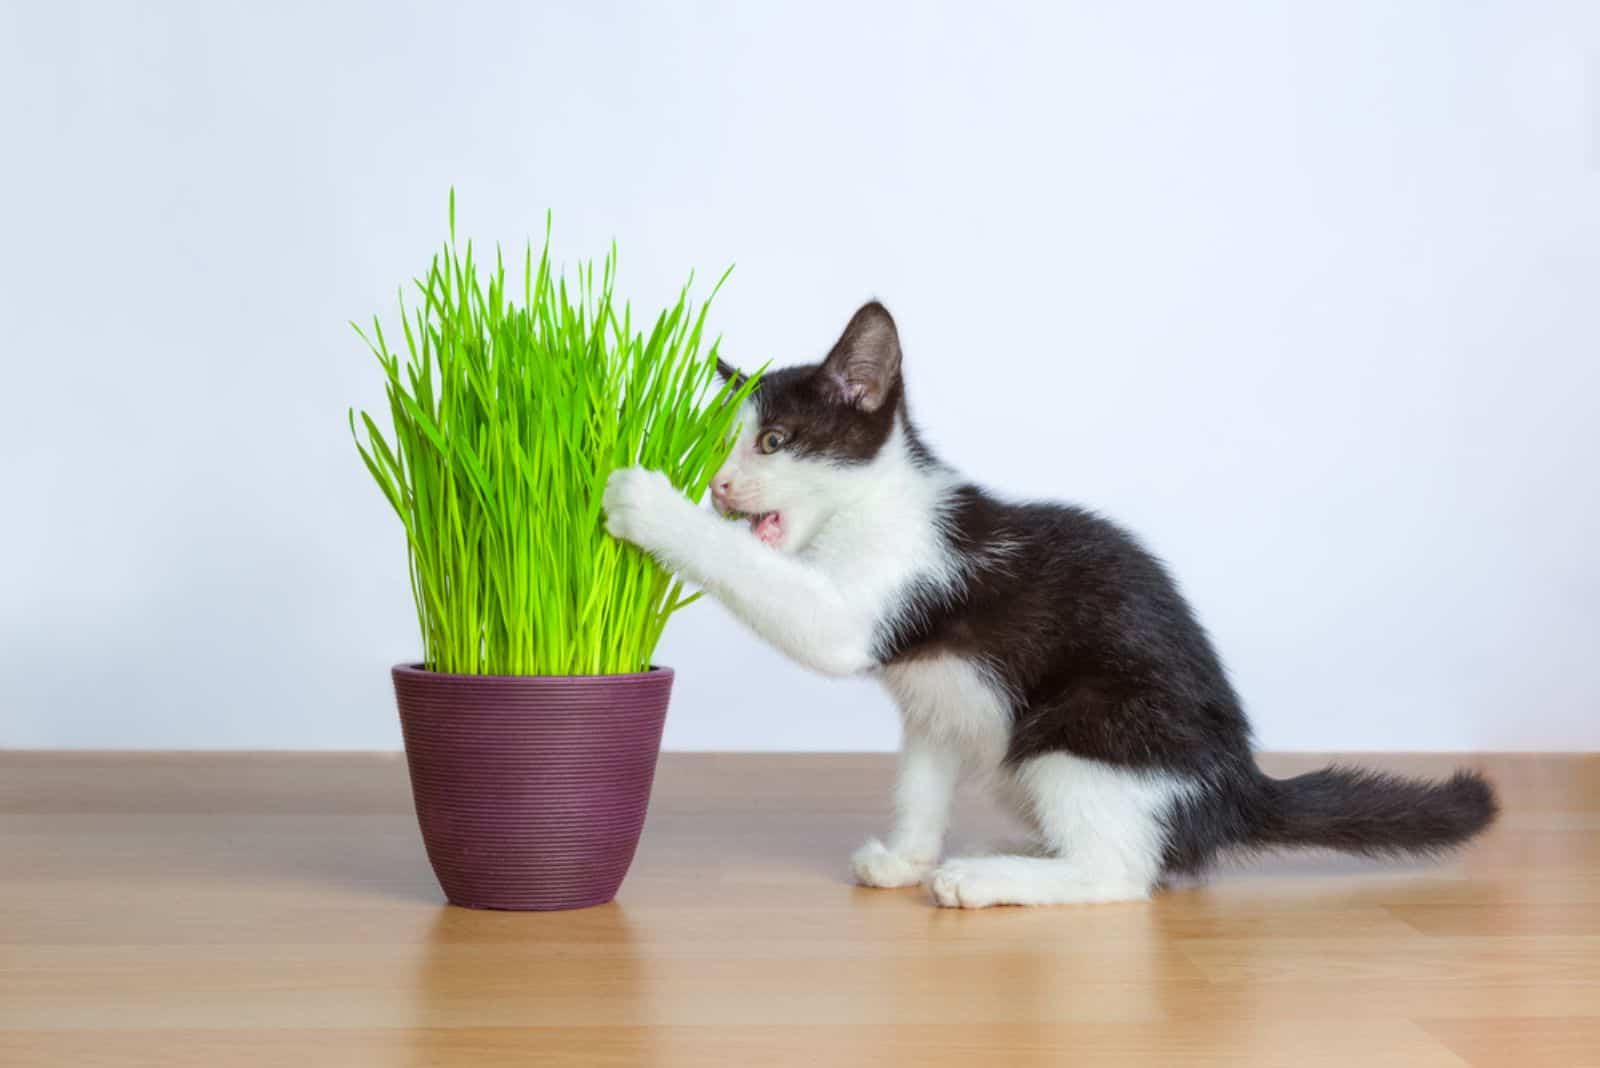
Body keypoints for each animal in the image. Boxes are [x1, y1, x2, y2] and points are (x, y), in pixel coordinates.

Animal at [601, 300, 1497, 908]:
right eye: (719, 449)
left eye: (774, 442)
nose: (718, 490)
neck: (874, 504)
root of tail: (1236, 788)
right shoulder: (936, 705)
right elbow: (920, 780)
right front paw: (906, 857)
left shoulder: (889, 591)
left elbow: (799, 608)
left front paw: (645, 503)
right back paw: (1021, 853)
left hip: (1083, 730)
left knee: (1121, 876)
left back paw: (990, 878)